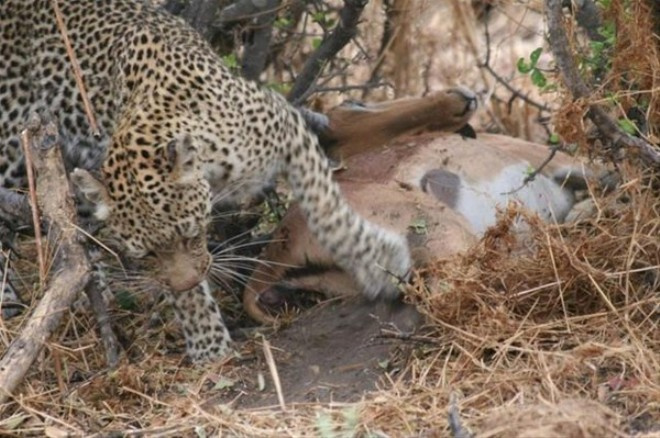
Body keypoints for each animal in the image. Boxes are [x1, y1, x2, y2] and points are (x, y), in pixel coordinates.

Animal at [0, 0, 412, 362]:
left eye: (190, 234)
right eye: (147, 254)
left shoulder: (287, 125)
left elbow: (328, 208)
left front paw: (376, 262)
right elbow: (188, 295)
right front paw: (208, 345)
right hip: (13, 144)